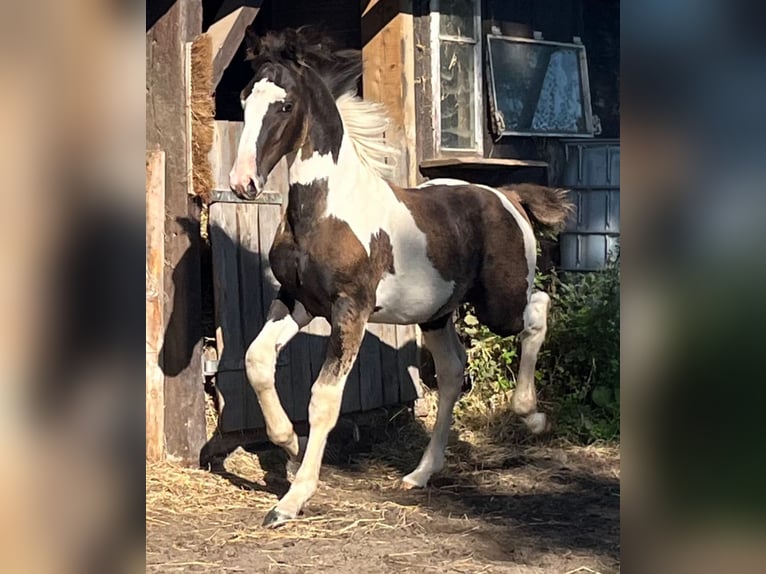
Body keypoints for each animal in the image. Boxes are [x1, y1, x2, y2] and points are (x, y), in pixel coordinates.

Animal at [228, 29, 568, 528]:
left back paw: (533, 416)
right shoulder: (298, 301)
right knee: (452, 372)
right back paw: (421, 473)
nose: (243, 183)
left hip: (499, 303)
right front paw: (289, 444)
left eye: (285, 105)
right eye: (244, 98)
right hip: (437, 314)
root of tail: (507, 196)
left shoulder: (350, 310)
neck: (326, 211)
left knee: (537, 311)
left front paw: (291, 500)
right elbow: (256, 360)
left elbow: (324, 399)